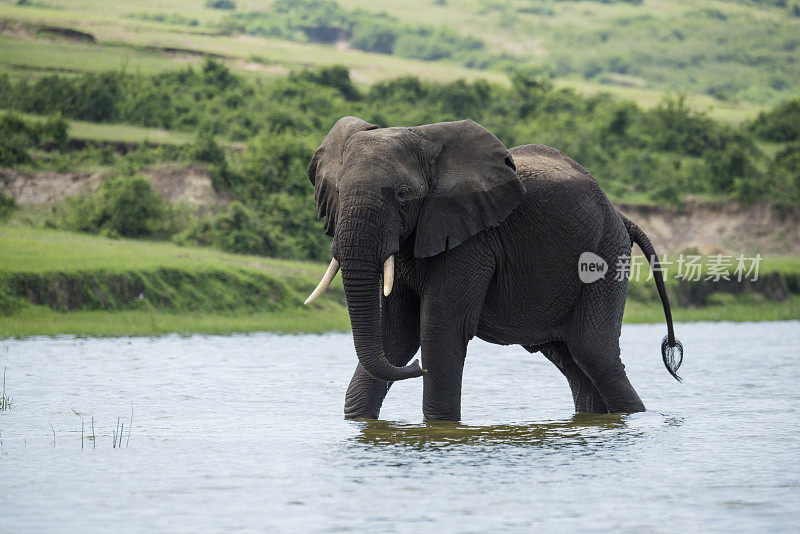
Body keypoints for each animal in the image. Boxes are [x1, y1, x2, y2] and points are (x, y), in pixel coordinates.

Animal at [302, 116, 680, 422]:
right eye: (338, 191)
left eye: (402, 194)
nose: (416, 368)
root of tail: (621, 215)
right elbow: (395, 333)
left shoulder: (472, 240)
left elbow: (438, 328)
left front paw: (439, 427)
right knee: (573, 361)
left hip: (605, 254)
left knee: (594, 353)